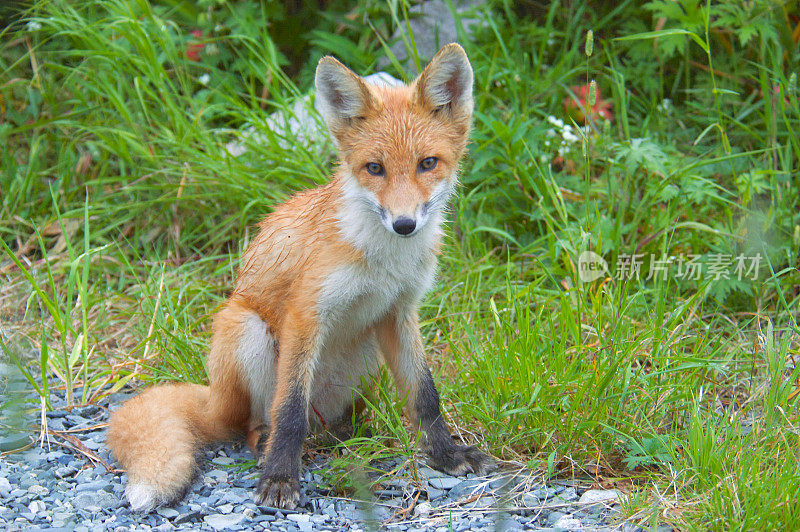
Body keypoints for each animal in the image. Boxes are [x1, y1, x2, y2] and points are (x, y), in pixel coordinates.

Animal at [106, 44, 494, 512]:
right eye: (375, 168)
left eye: (428, 164)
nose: (404, 224)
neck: (383, 262)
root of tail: (214, 399)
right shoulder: (307, 313)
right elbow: (289, 409)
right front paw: (280, 478)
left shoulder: (400, 312)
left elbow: (425, 395)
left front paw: (446, 454)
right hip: (247, 329)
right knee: (262, 421)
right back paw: (268, 447)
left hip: (366, 351)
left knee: (330, 420)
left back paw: (349, 436)